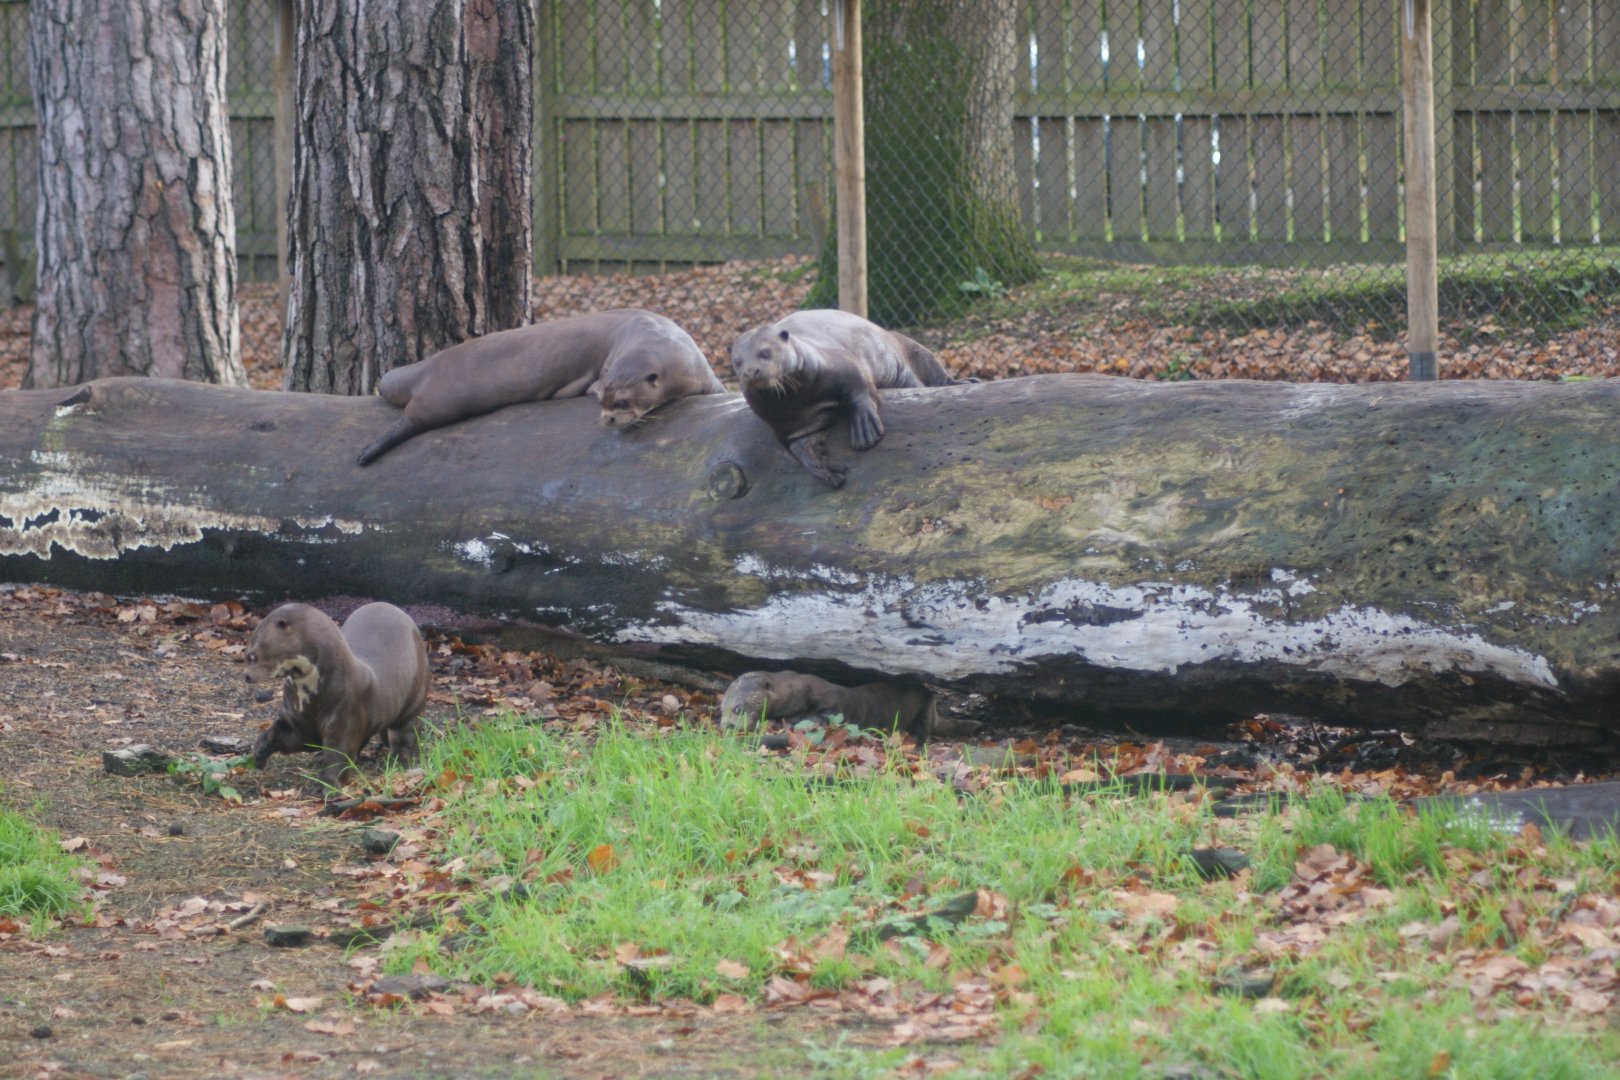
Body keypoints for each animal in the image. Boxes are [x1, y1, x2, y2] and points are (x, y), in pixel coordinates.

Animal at [245, 602, 430, 790]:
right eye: (247, 654)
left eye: (252, 656)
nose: (246, 676)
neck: (313, 699)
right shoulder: (297, 720)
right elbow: (282, 734)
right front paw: (259, 752)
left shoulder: (344, 716)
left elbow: (338, 755)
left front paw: (325, 785)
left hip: (414, 702)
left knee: (405, 735)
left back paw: (399, 761)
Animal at [357, 309, 725, 465]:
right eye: (602, 401)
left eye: (621, 402)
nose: (607, 419)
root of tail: (431, 363)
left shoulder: (698, 370)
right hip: (443, 396)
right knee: (412, 417)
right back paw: (367, 452)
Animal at [730, 309, 954, 487]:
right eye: (737, 362)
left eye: (765, 352)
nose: (750, 371)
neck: (803, 399)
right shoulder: (791, 427)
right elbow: (802, 447)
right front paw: (821, 468)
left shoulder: (842, 362)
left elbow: (860, 387)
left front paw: (865, 429)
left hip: (907, 353)